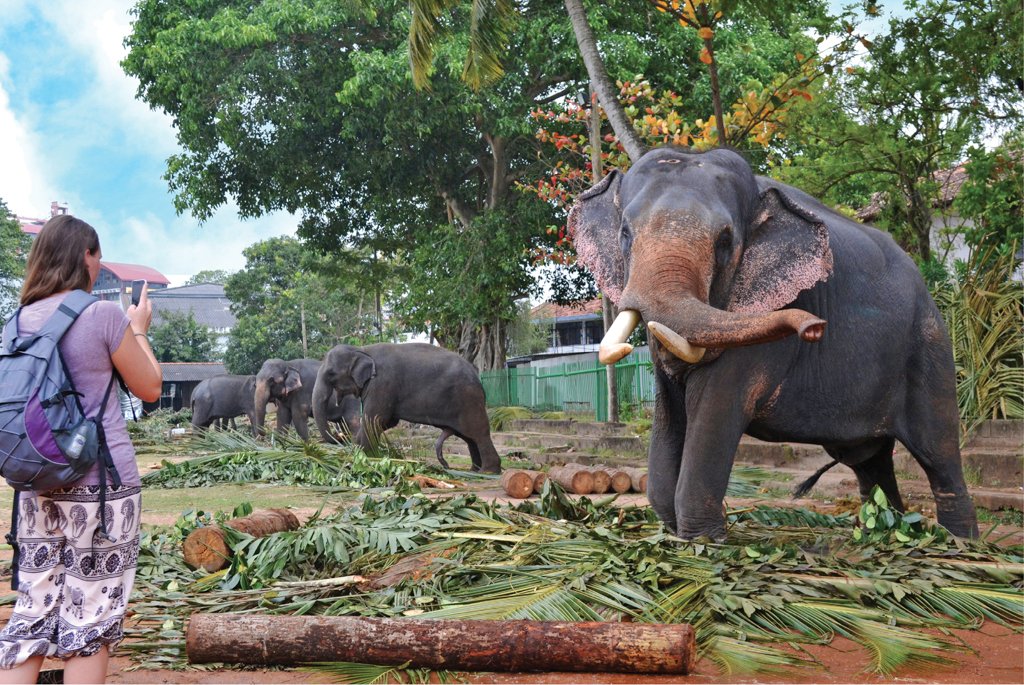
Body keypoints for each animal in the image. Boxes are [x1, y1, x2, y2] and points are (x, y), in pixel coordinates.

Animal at [312, 343, 502, 473]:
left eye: (331, 374)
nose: (340, 437)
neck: (361, 349)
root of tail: (477, 376)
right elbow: (386, 422)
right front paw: (360, 451)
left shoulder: (382, 384)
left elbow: (374, 418)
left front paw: (364, 457)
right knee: (470, 438)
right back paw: (474, 469)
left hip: (469, 400)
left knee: (479, 434)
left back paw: (487, 472)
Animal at [568, 146, 978, 540]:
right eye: (625, 233)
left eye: (725, 241)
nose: (815, 328)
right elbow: (669, 414)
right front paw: (674, 534)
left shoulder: (759, 327)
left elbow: (716, 410)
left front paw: (702, 541)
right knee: (867, 460)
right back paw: (884, 533)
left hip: (928, 345)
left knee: (937, 453)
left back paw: (958, 543)